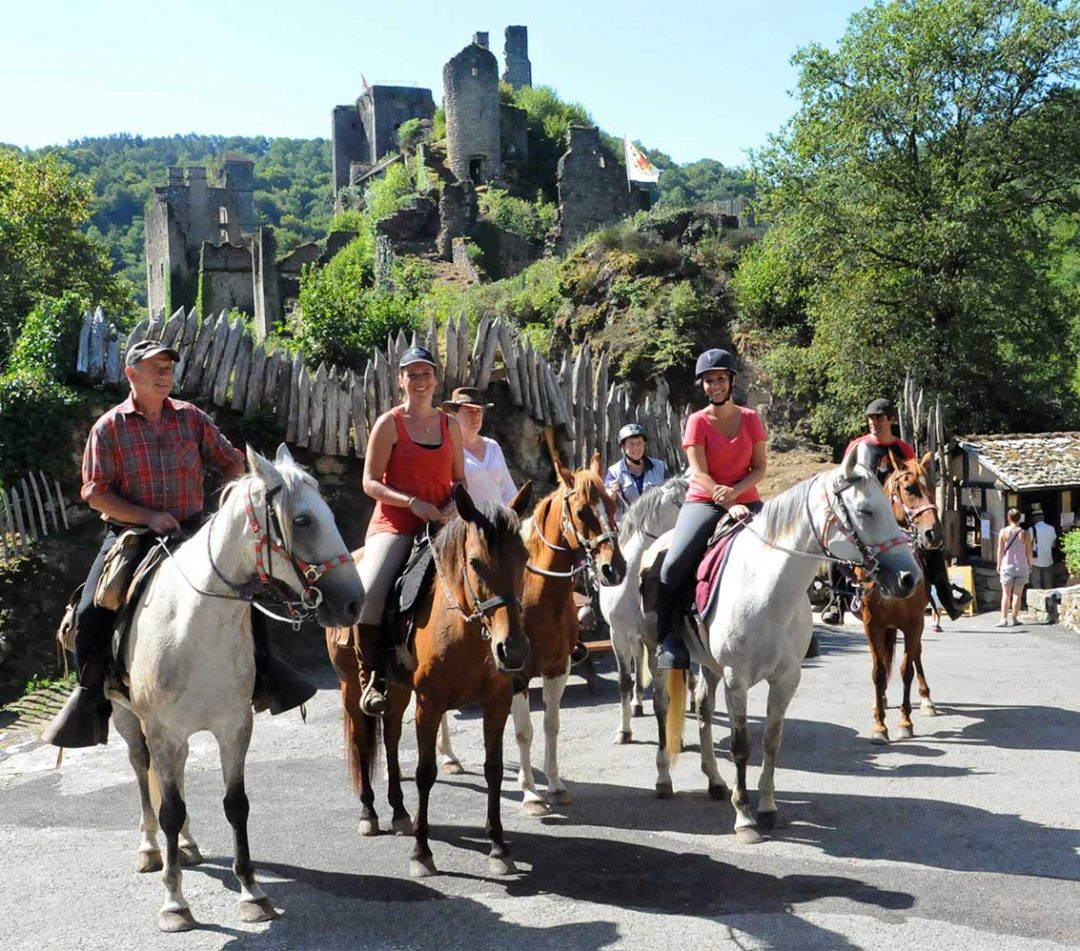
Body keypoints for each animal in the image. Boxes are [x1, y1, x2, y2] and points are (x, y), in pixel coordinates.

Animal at [109, 442, 362, 928]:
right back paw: (150, 849)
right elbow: (169, 810)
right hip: (127, 719)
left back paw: (188, 846)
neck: (193, 628)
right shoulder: (162, 733)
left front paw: (252, 893)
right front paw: (175, 903)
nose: (353, 603)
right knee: (140, 771)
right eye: (302, 520)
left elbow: (235, 804)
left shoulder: (234, 728)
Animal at [326, 485, 533, 880]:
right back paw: (369, 813)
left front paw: (499, 847)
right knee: (362, 739)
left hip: (397, 688)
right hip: (350, 687)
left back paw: (399, 811)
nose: (512, 650)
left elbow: (494, 769)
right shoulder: (430, 703)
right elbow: (425, 773)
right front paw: (421, 853)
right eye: (475, 563)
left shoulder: (496, 703)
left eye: (525, 557)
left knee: (391, 736)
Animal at [656, 451, 920, 837]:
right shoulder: (737, 680)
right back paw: (663, 780)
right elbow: (741, 746)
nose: (909, 578)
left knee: (703, 707)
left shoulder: (786, 679)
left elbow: (771, 741)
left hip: (709, 665)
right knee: (662, 709)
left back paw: (715, 782)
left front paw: (767, 807)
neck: (767, 588)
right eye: (866, 511)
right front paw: (744, 816)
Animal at [859, 451, 937, 742]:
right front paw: (879, 725)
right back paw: (879, 701)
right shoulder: (872, 624)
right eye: (909, 488)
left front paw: (905, 722)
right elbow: (878, 672)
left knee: (916, 655)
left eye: (933, 487)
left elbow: (907, 669)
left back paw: (926, 700)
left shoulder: (914, 622)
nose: (933, 533)